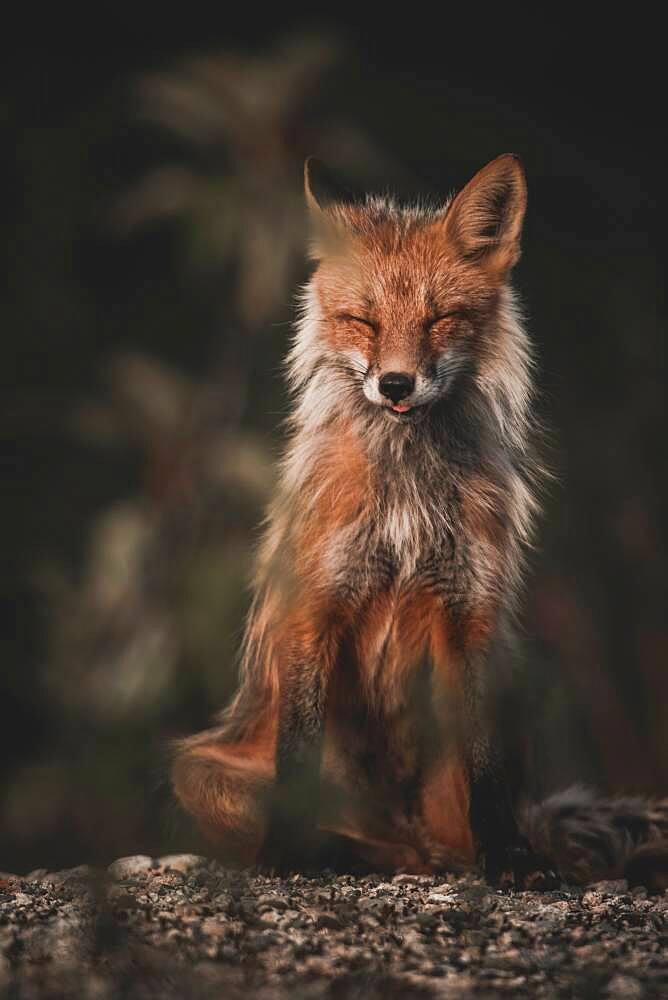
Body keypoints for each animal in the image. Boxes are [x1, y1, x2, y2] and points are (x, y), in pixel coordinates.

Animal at [174, 152, 668, 888]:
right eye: (365, 321)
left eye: (440, 319)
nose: (396, 384)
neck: (406, 498)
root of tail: (404, 823)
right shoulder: (316, 604)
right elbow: (298, 756)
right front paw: (288, 854)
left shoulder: (471, 611)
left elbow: (485, 773)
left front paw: (510, 860)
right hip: (198, 772)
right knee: (377, 841)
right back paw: (343, 852)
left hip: (512, 695)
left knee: (466, 835)